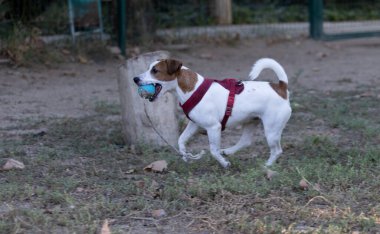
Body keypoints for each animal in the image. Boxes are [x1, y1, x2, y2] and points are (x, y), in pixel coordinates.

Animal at [135, 58, 292, 168]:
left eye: (155, 70)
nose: (135, 79)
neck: (192, 88)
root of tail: (281, 88)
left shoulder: (213, 127)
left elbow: (213, 150)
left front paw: (224, 163)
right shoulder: (194, 124)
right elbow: (181, 140)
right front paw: (185, 155)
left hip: (271, 130)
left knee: (277, 151)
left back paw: (267, 166)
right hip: (250, 121)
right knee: (246, 141)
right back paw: (228, 151)